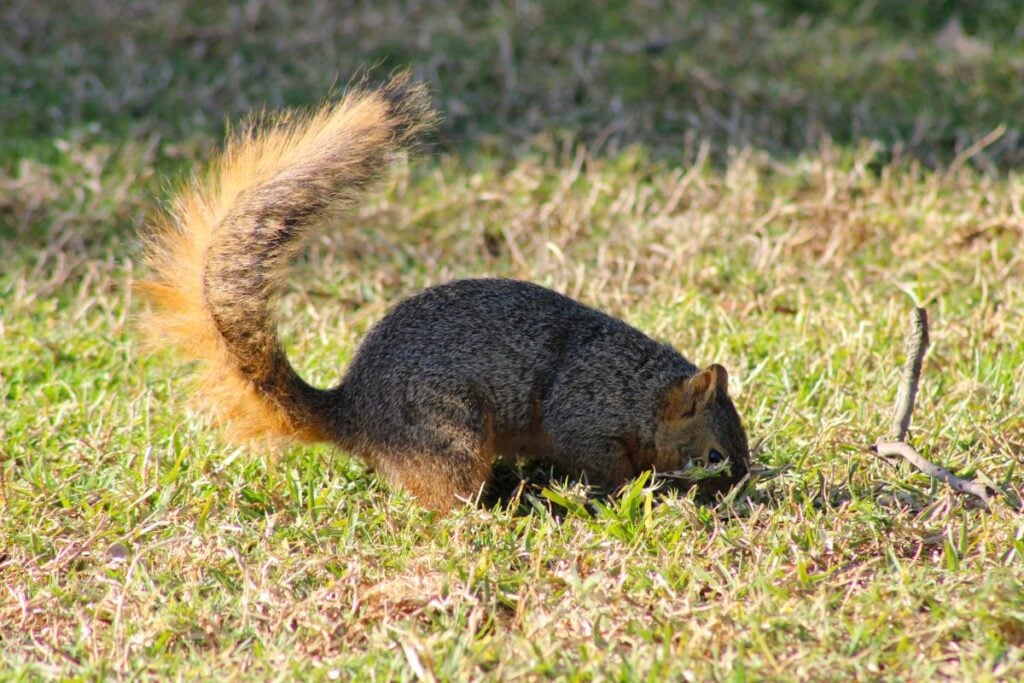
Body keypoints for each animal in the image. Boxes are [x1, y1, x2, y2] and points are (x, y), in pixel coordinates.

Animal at [138, 72, 751, 513]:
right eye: (714, 454)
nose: (737, 493)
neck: (642, 393)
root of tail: (353, 415)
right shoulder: (586, 416)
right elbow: (603, 465)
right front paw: (633, 493)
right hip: (447, 432)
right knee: (444, 495)